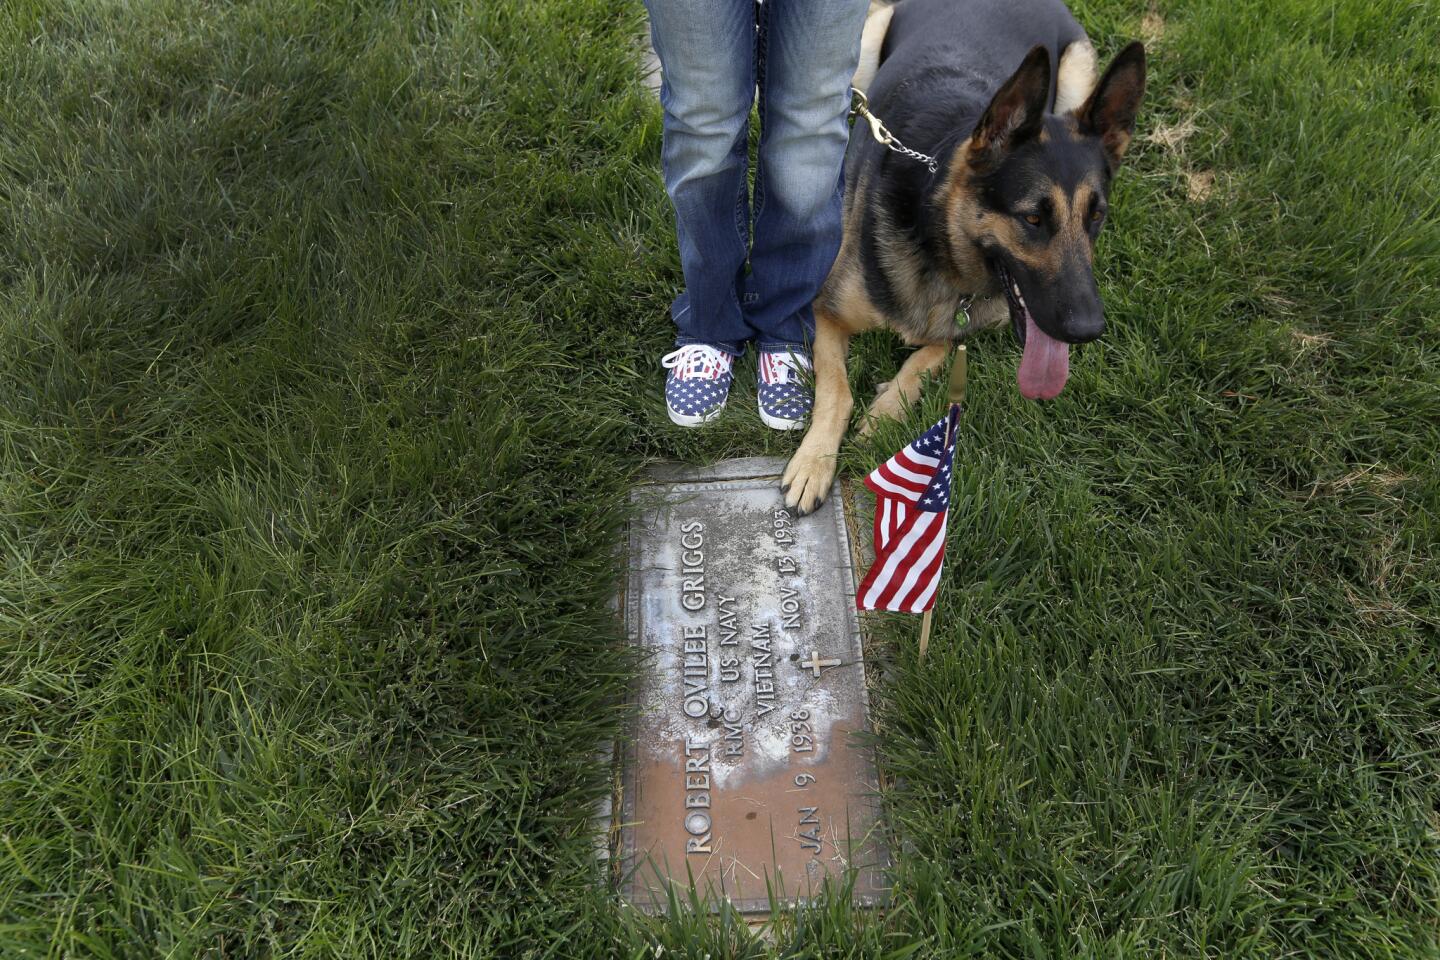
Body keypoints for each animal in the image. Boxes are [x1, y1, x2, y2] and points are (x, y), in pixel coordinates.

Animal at [783, 0, 1140, 515]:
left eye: (1097, 216)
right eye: (1033, 218)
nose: (1088, 330)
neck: (939, 242)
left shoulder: (968, 329)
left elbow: (927, 354)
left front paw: (885, 411)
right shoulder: (824, 311)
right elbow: (836, 388)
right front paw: (814, 462)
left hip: (1075, 73)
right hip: (863, 49)